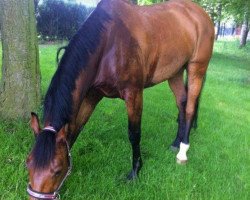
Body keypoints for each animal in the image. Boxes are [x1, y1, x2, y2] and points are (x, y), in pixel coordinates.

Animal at [25, 0, 213, 198]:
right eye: (28, 164)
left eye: (57, 170)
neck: (109, 42)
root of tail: (199, 13)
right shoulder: (92, 96)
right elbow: (76, 129)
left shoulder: (133, 93)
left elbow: (134, 133)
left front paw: (135, 172)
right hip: (175, 72)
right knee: (182, 104)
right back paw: (176, 143)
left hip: (196, 68)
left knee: (190, 107)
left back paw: (183, 152)